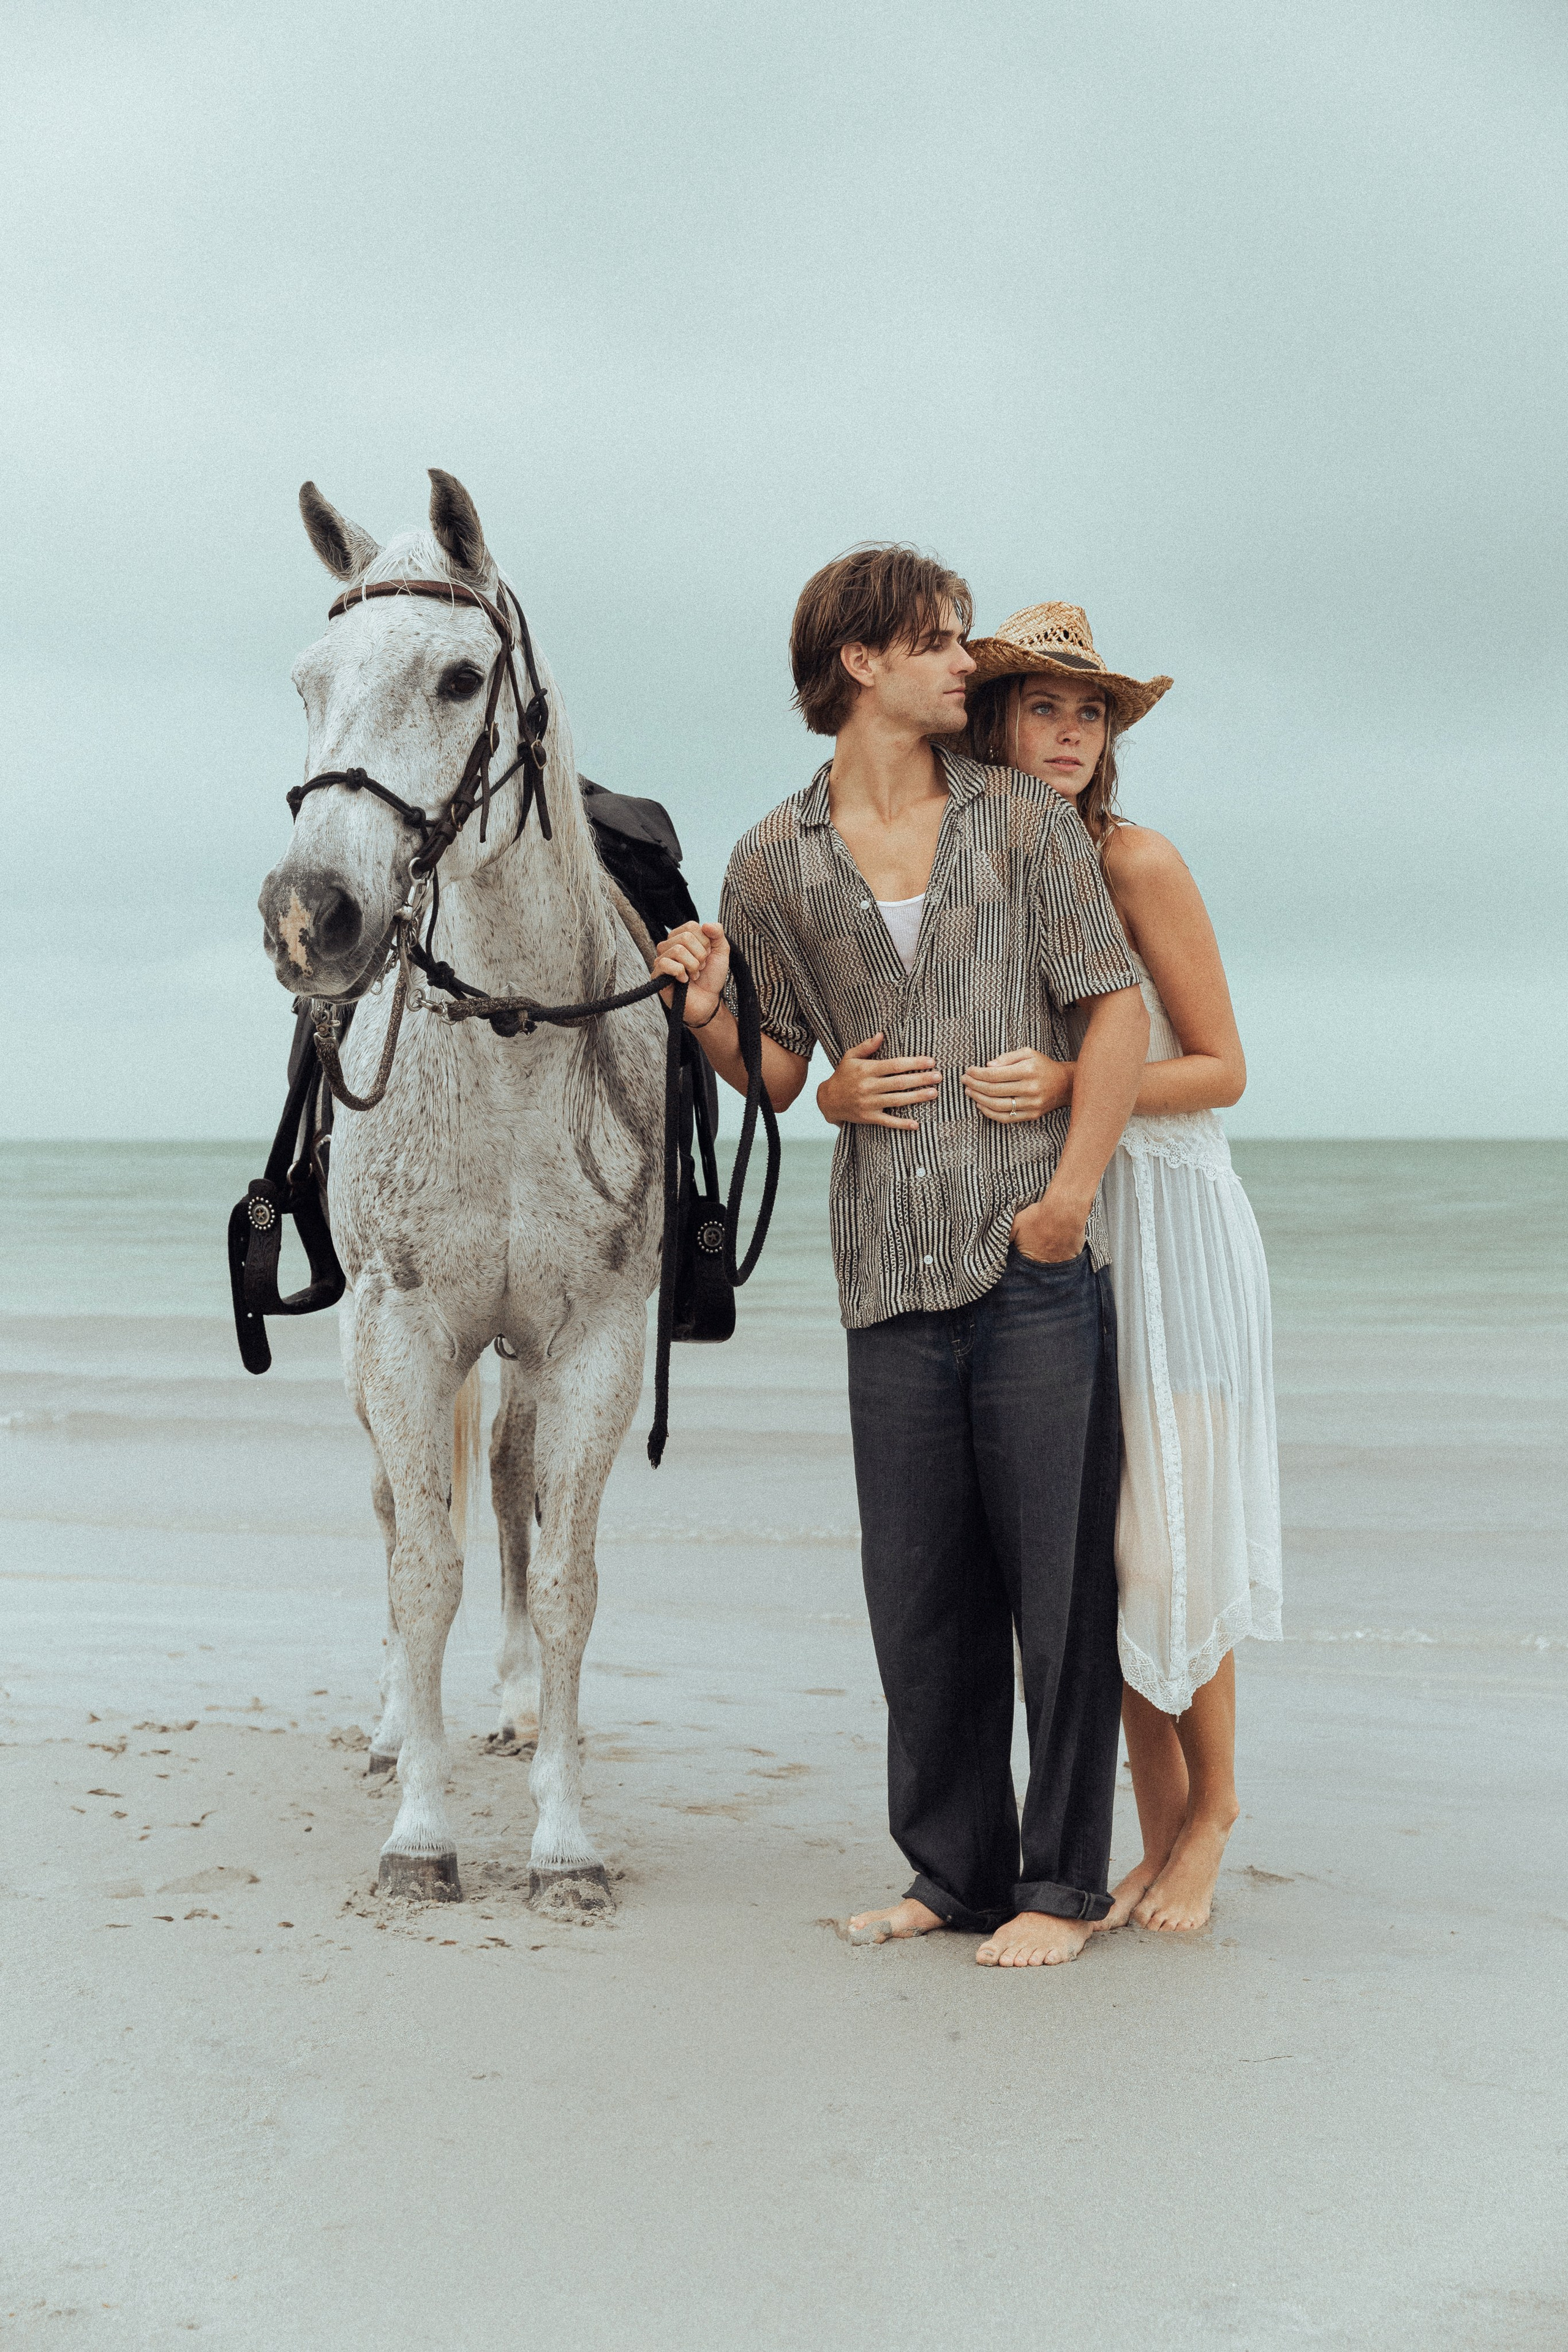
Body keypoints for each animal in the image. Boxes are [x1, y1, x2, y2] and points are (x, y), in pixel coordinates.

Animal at [258, 469, 666, 1916]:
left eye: (456, 676)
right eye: (308, 682)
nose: (307, 916)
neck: (509, 1043)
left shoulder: (592, 1343)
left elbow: (564, 1576)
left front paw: (564, 1838)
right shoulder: (401, 1330)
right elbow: (420, 1568)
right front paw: (422, 1833)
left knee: (504, 1488)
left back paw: (515, 1710)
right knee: (401, 1516)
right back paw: (397, 1731)